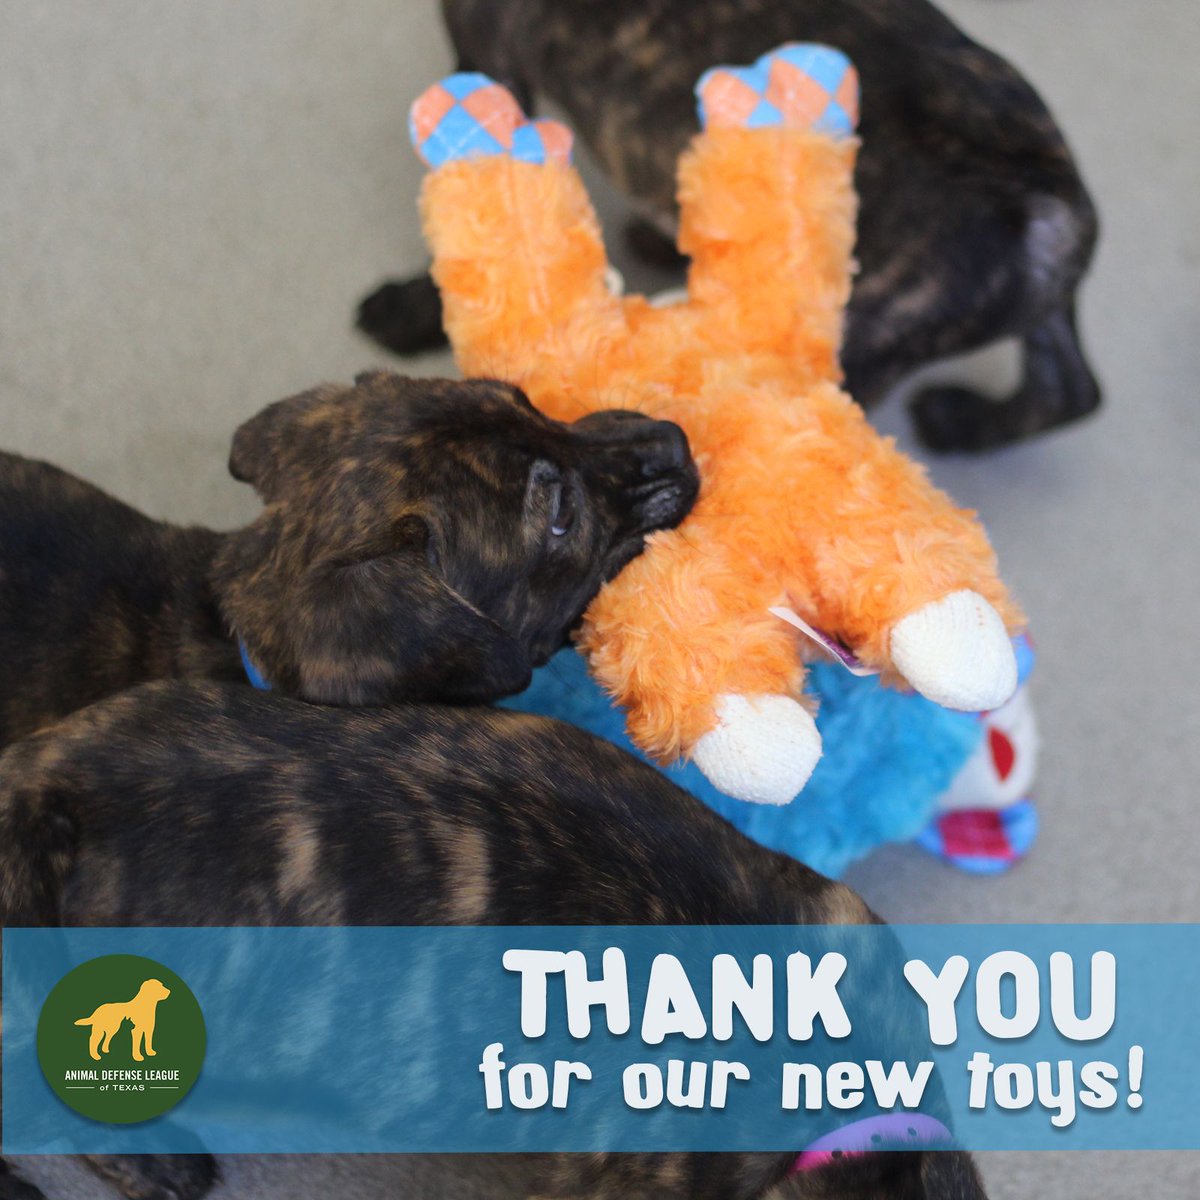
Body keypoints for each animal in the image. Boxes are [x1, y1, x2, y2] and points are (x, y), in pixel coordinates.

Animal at [358, 0, 1100, 453]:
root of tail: (1048, 202)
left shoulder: (487, 71)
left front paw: (405, 313)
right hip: (1039, 306)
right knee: (1071, 389)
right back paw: (965, 424)